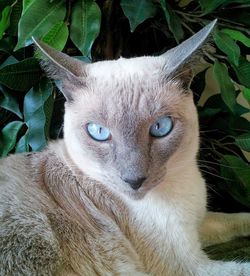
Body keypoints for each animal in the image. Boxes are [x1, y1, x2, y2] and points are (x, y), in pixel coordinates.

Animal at [0, 18, 250, 274]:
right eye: (99, 132)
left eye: (161, 127)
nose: (134, 180)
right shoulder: (189, 265)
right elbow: (241, 266)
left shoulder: (199, 226)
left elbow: (233, 217)